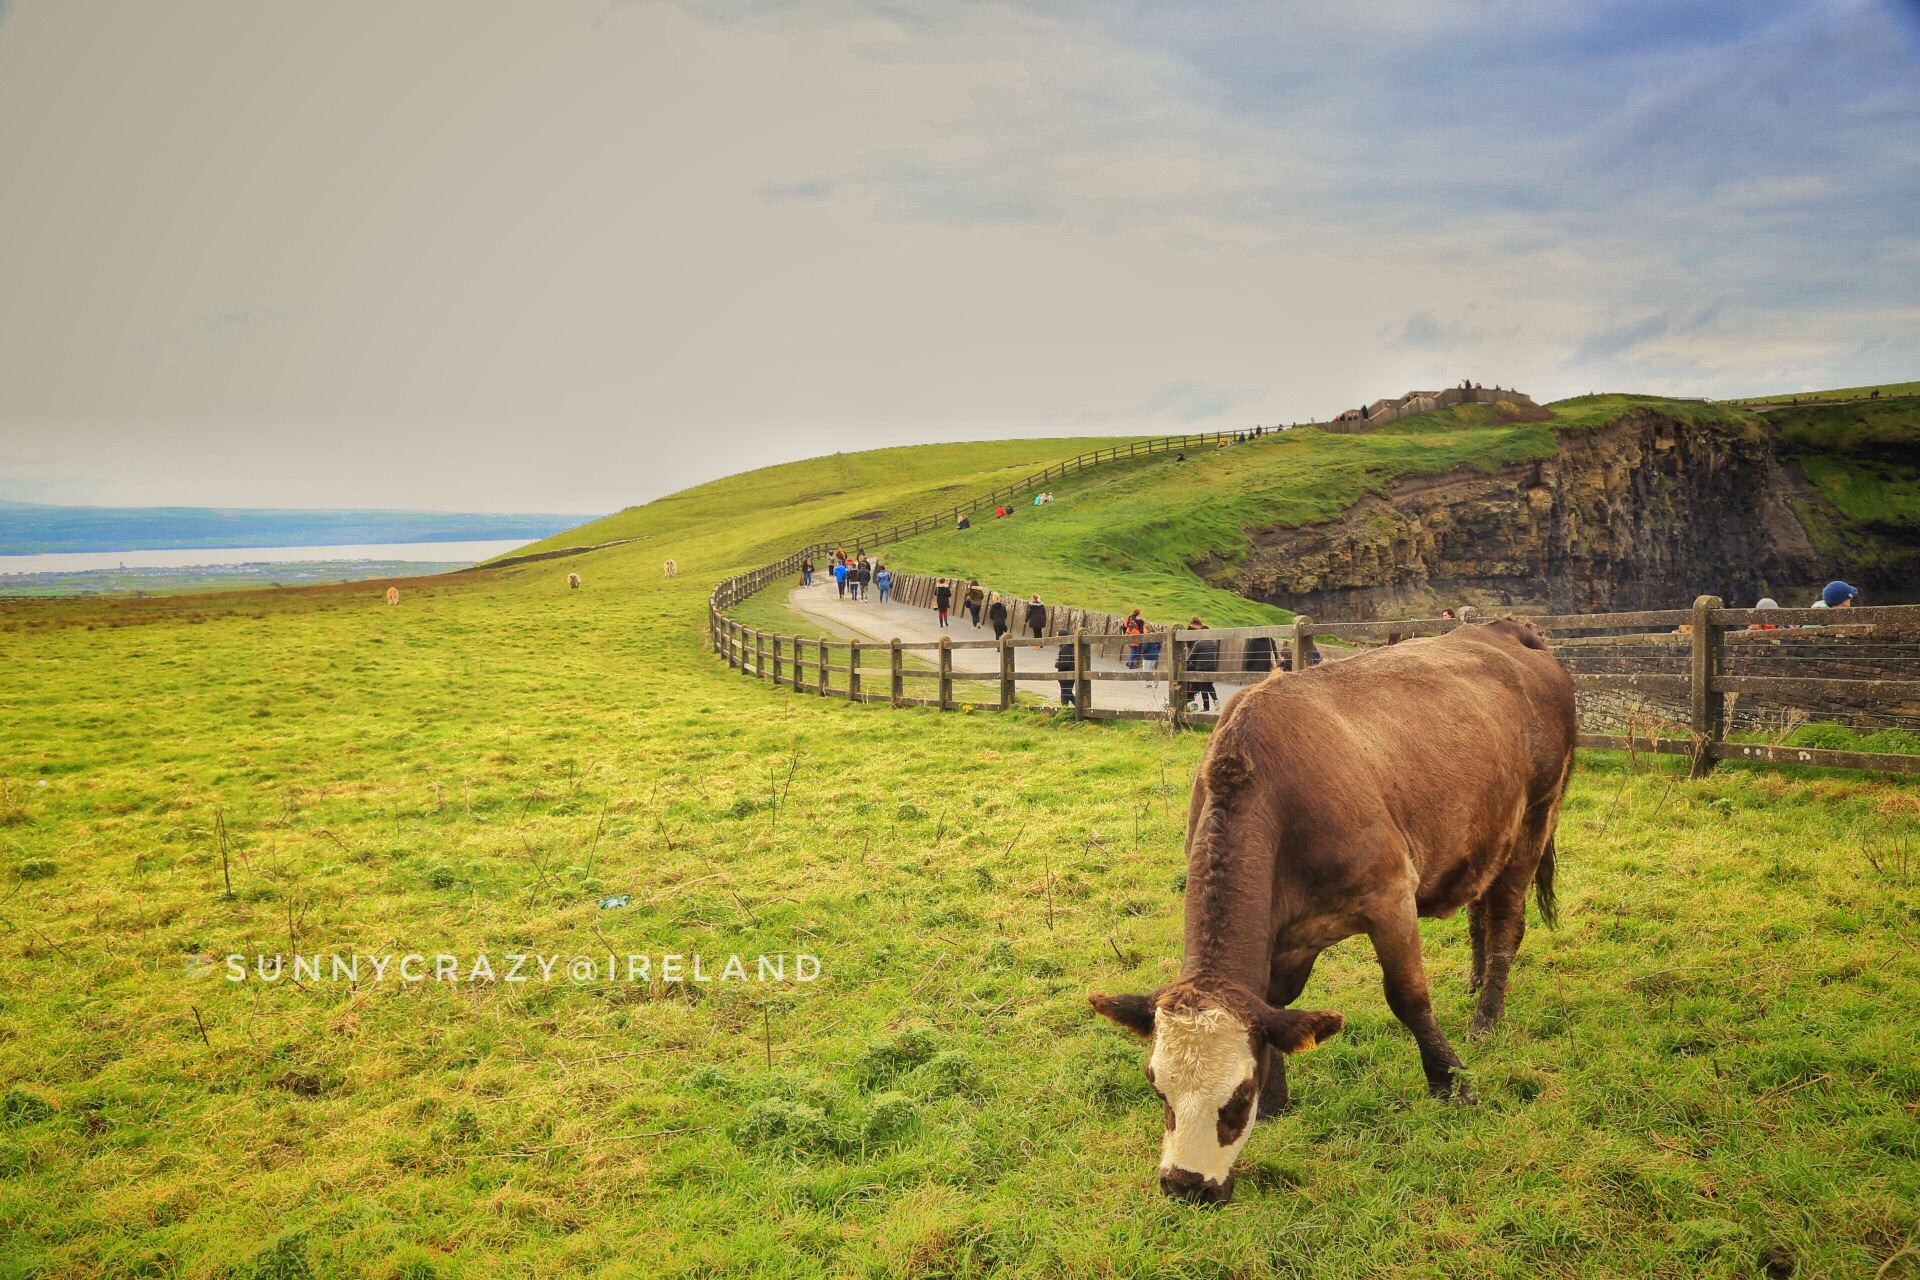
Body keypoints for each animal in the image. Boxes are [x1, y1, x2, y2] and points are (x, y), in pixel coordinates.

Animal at [1098, 617, 1574, 1205]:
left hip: (1536, 817)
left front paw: (1451, 1082)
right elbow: (1275, 1008)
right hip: (1488, 835)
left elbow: (1408, 997)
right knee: (1480, 912)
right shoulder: (1283, 937)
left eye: (1238, 1095)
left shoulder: (1391, 896)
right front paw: (1278, 1102)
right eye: (1156, 1087)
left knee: (1507, 918)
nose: (1186, 1185)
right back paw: (1475, 982)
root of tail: (1507, 630)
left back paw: (1487, 1017)